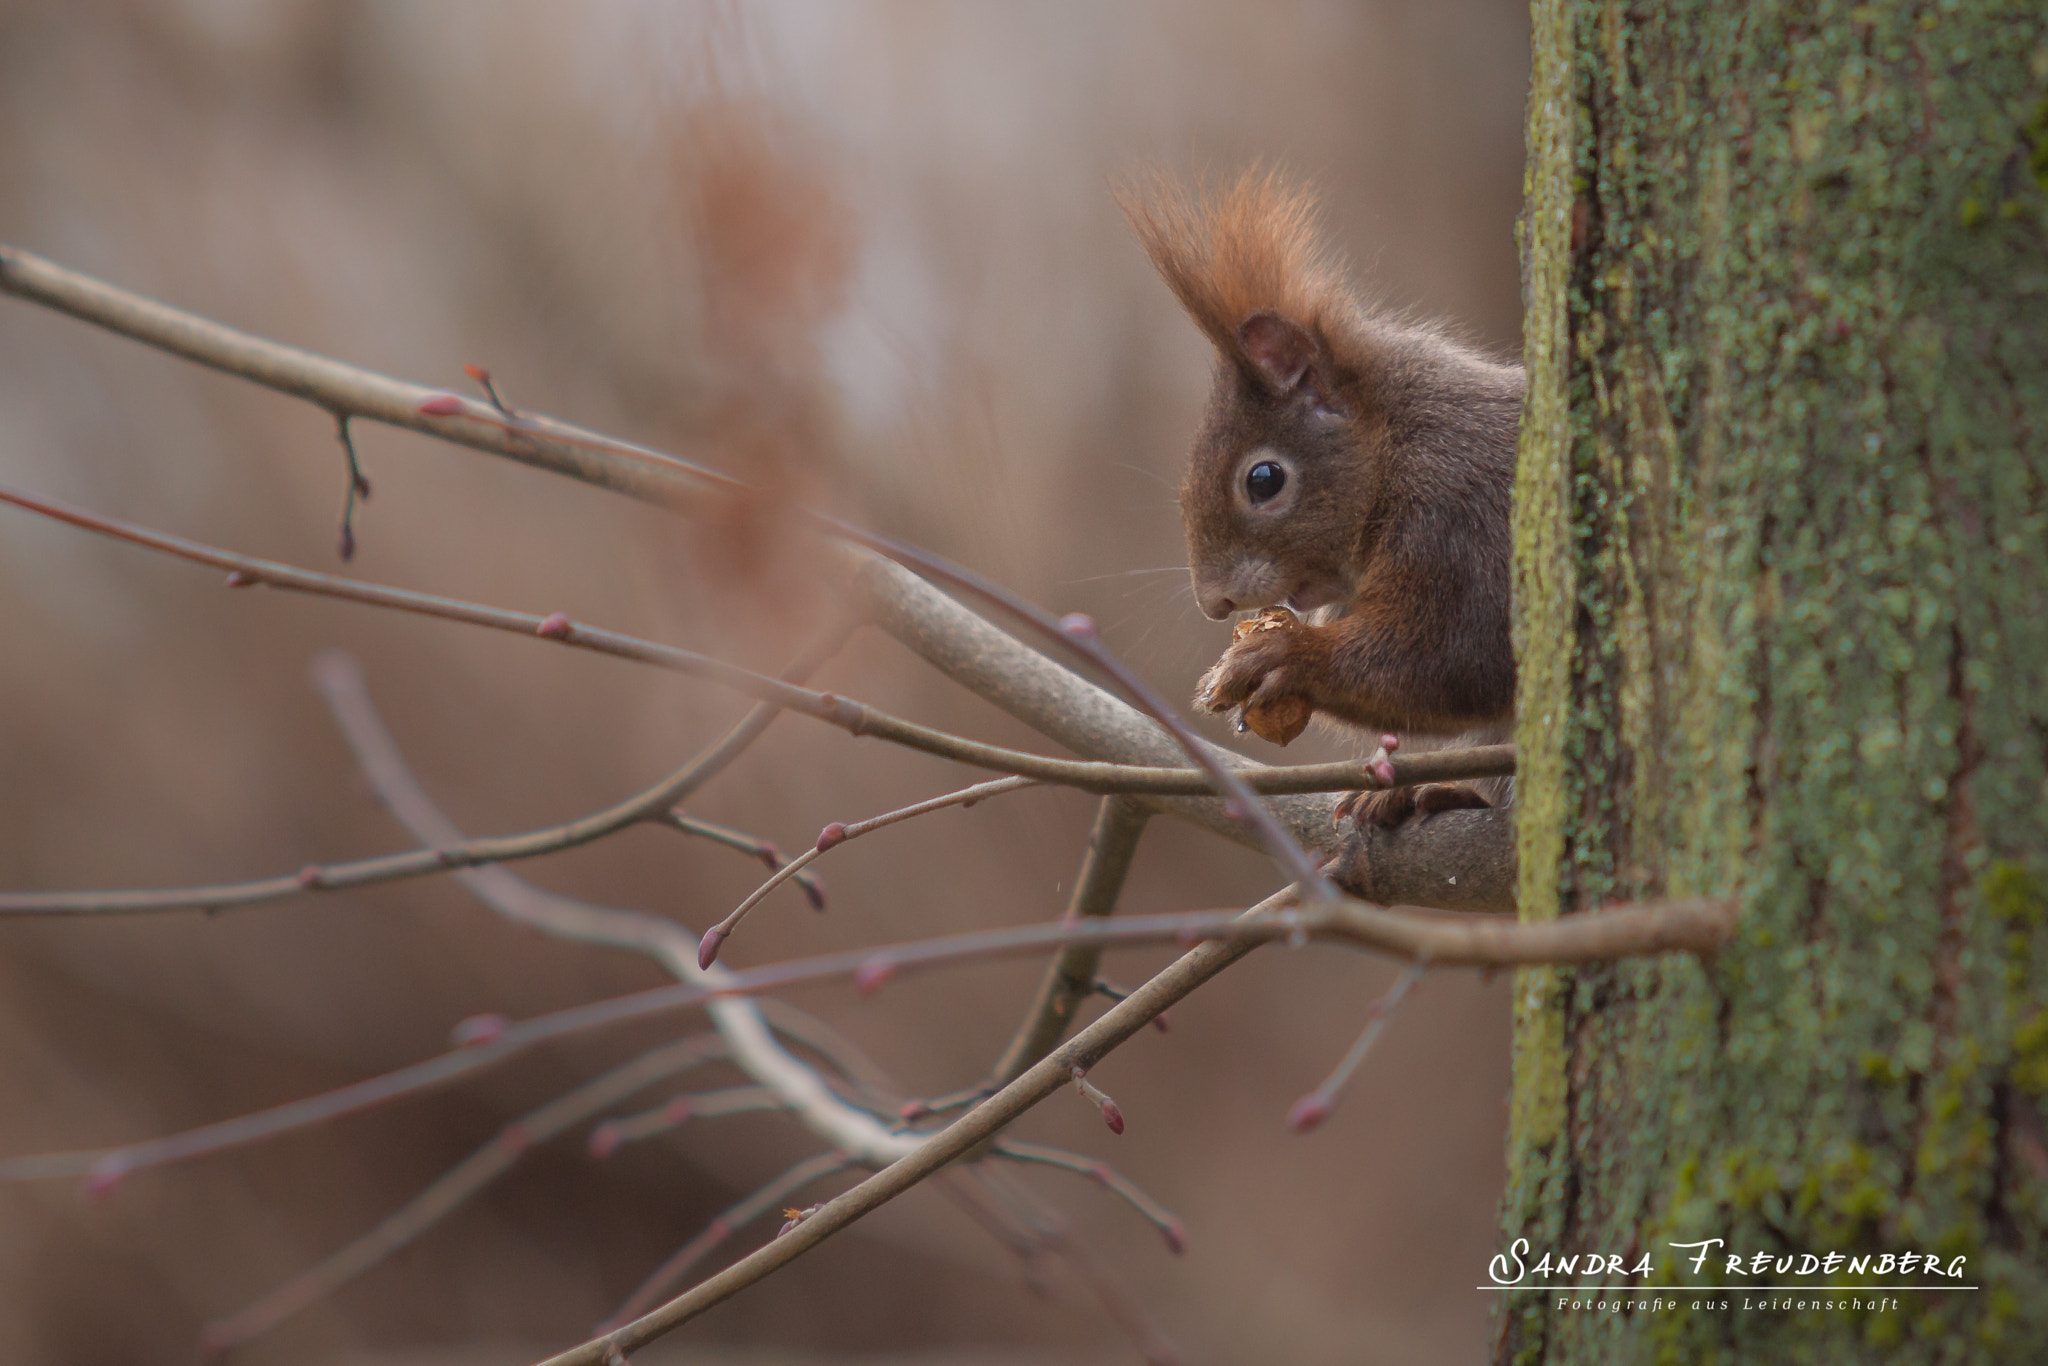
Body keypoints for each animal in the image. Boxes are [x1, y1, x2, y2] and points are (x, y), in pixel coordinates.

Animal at [1121, 170, 1520, 827]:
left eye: (1264, 480)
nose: (1214, 602)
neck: (1392, 450)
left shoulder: (1460, 518)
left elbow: (1452, 658)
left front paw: (1284, 656)